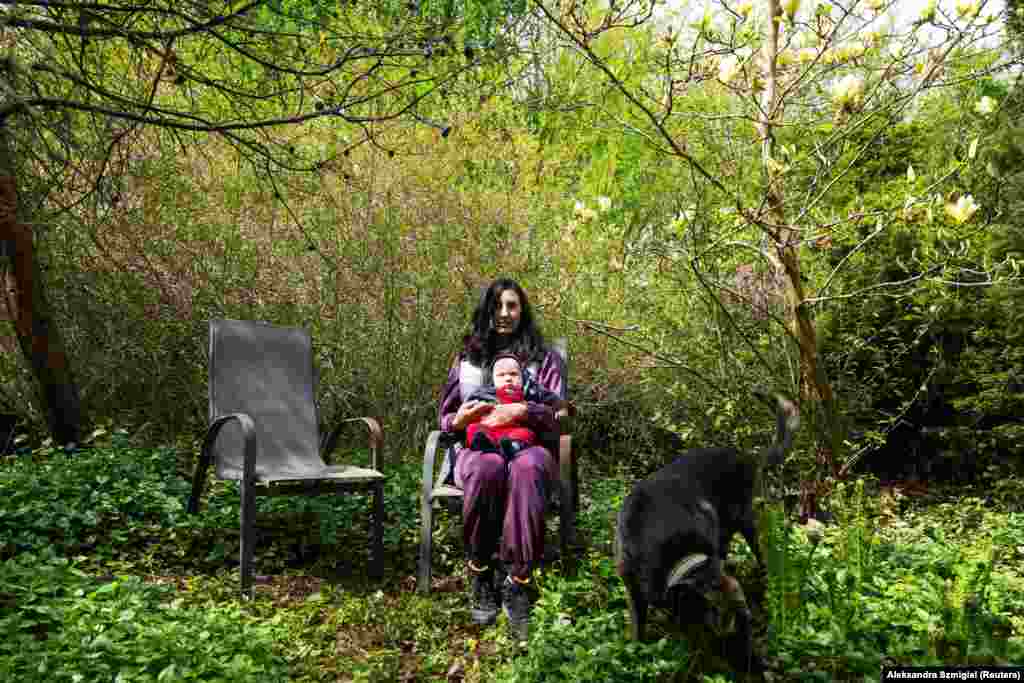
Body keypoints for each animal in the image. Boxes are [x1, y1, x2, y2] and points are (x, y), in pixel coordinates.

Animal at [614, 393, 798, 671]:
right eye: (725, 628)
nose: (759, 665)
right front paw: (636, 652)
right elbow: (638, 625)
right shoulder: (632, 588)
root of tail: (746, 456)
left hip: (747, 520)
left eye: (747, 622)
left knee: (759, 551)